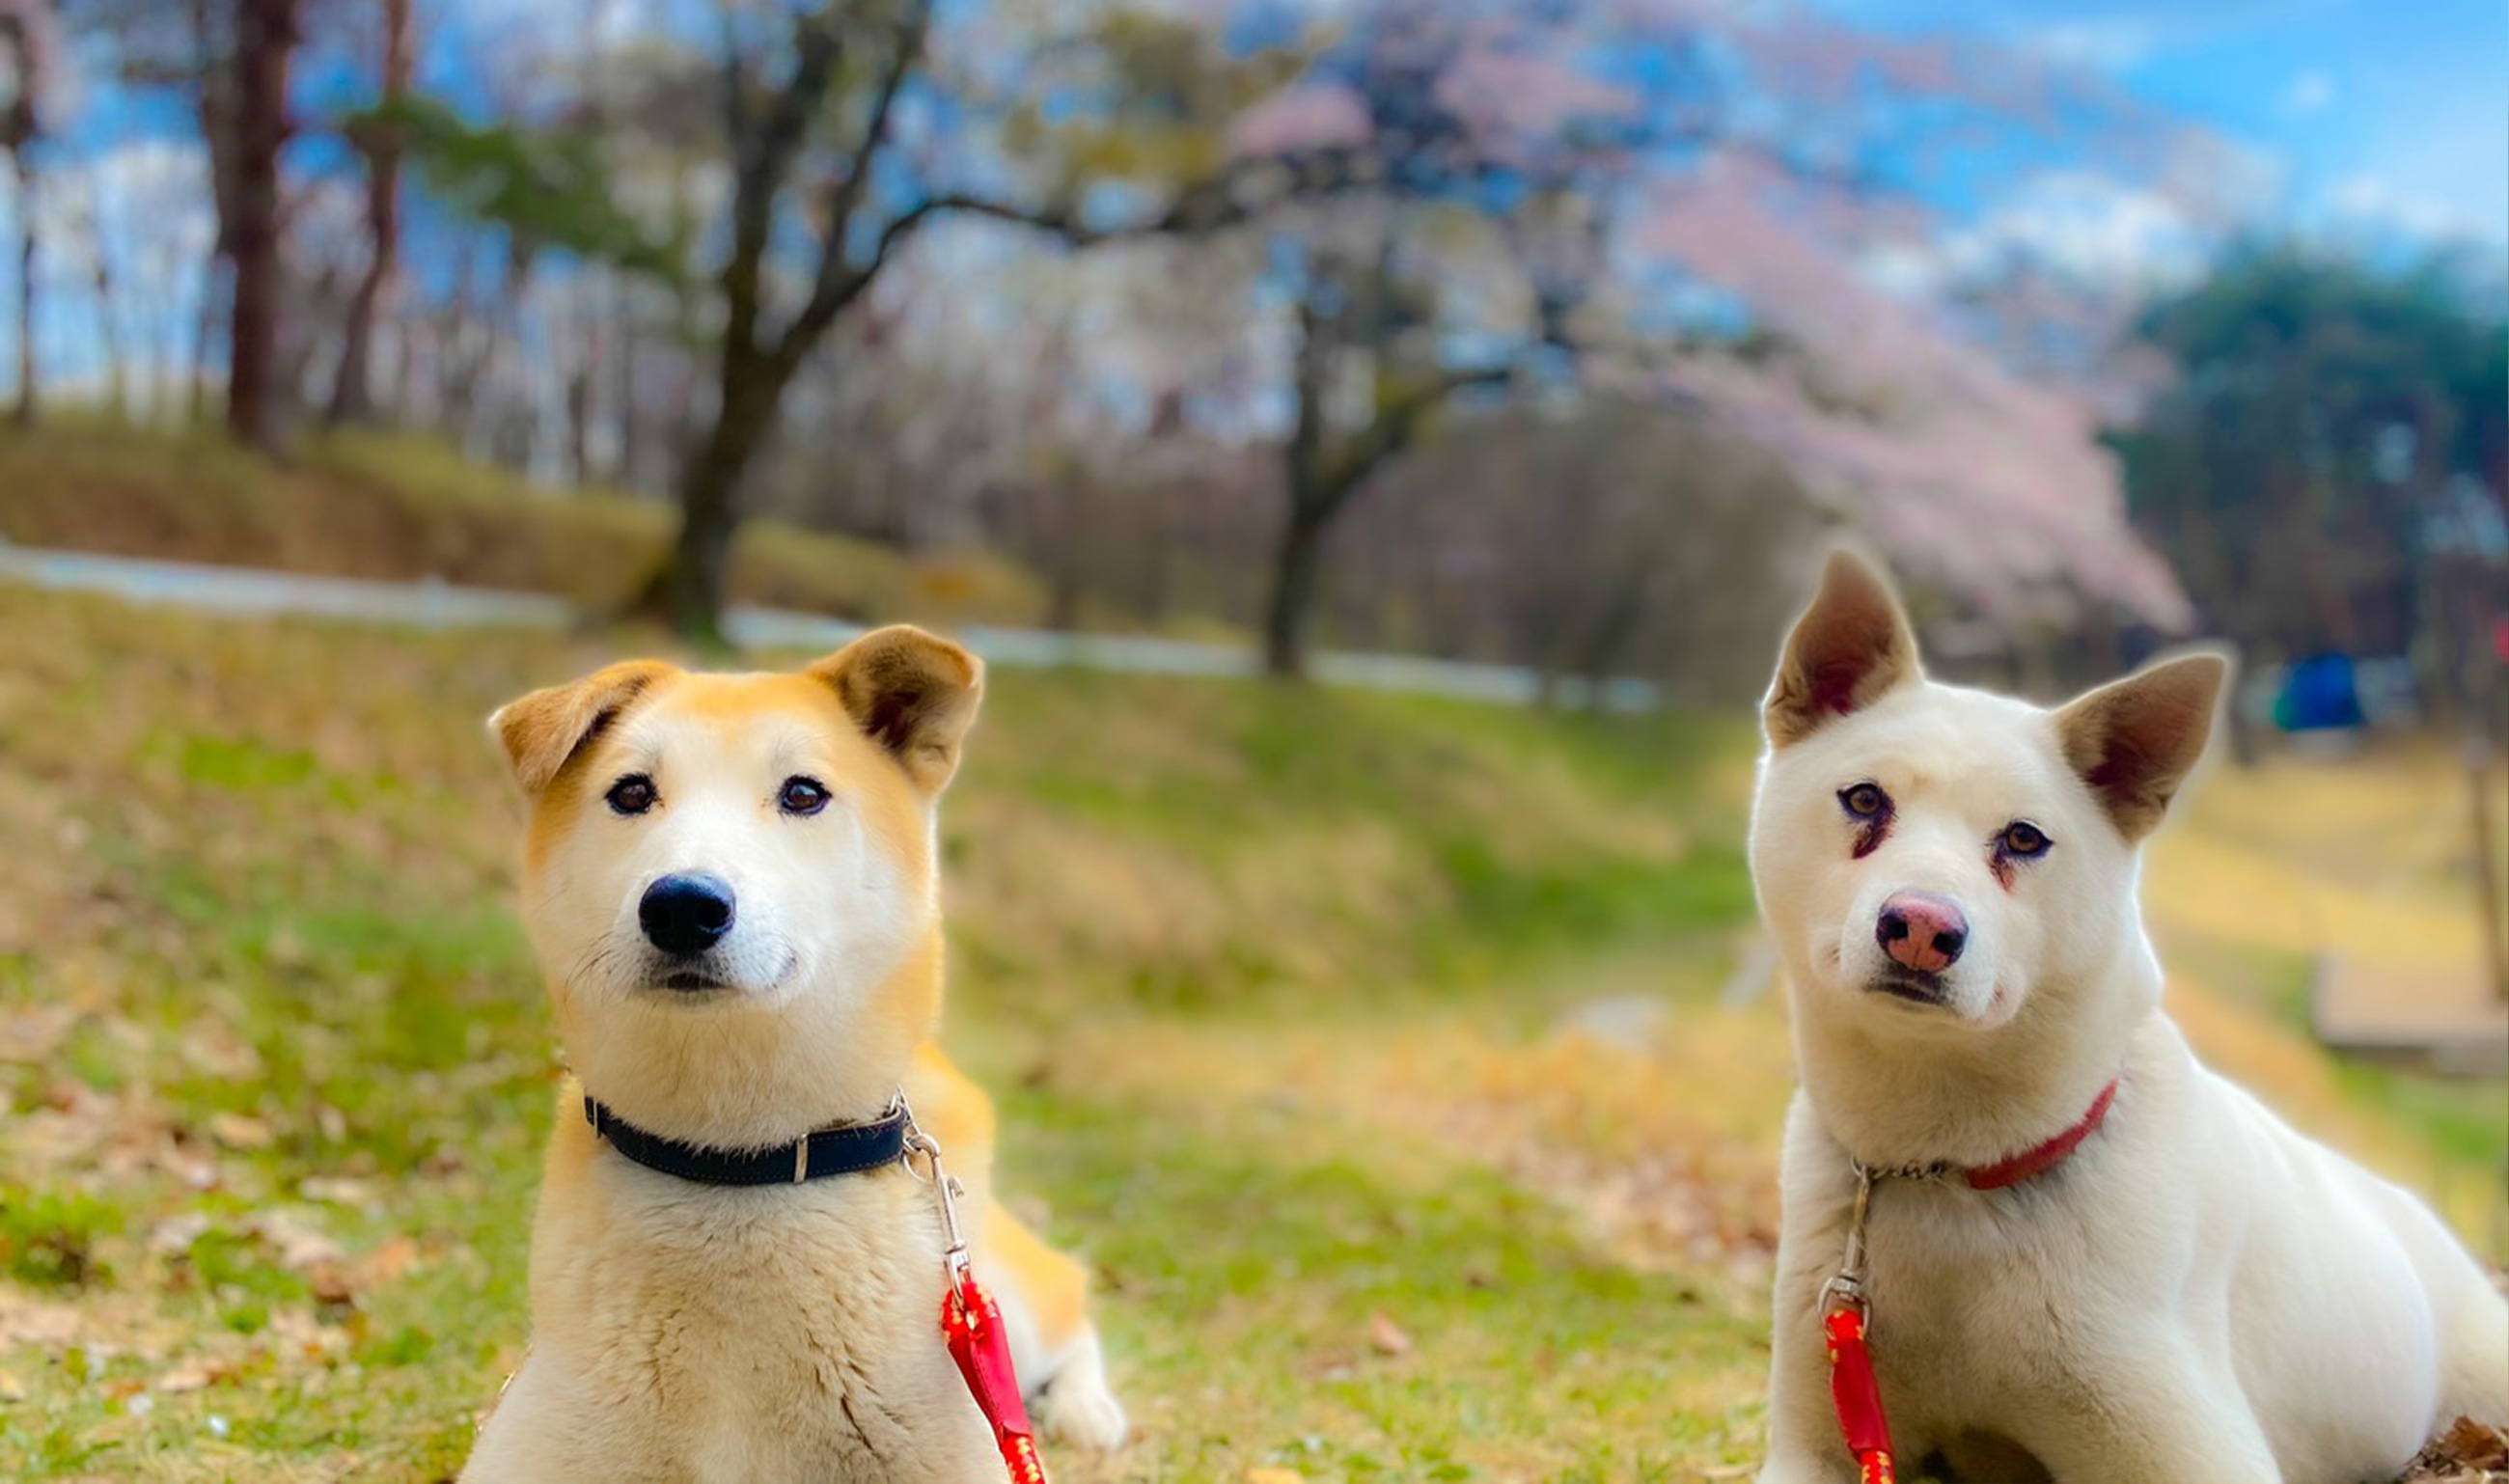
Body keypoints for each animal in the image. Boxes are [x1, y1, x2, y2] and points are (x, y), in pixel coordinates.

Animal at [463, 629, 1129, 1484]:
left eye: (804, 794)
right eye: (632, 792)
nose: (682, 904)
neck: (740, 1167)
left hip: (999, 1297)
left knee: (1059, 1307)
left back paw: (1087, 1408)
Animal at [1755, 554, 2498, 1484]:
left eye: (2024, 840)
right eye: (1863, 800)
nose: (1922, 929)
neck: (1951, 1170)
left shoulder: (2198, 1450)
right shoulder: (1819, 1441)